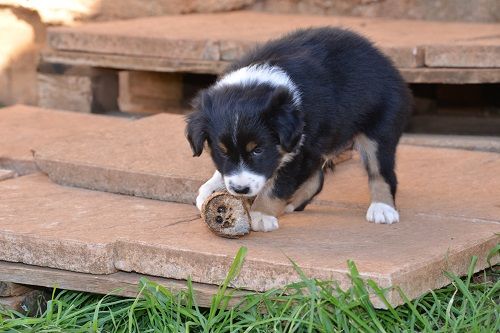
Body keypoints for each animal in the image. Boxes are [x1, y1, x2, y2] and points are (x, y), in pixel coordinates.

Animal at [186, 27, 412, 231]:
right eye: (222, 152)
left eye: (258, 150)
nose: (240, 189)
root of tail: (385, 61)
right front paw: (210, 188)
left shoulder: (300, 150)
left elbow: (278, 185)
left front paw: (261, 214)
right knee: (316, 178)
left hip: (379, 130)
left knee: (381, 171)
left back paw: (382, 209)